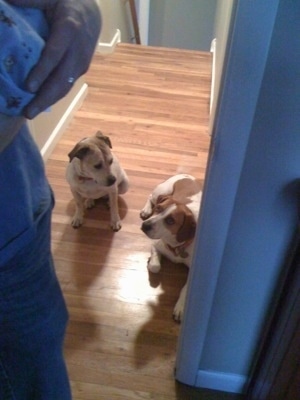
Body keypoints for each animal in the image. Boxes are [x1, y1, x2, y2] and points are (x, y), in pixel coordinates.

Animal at [140, 173, 202, 322]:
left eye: (170, 221)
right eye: (158, 209)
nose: (145, 225)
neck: (179, 246)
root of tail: (185, 174)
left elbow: (186, 289)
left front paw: (180, 307)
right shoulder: (157, 245)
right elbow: (155, 267)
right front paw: (150, 262)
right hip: (161, 191)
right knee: (150, 196)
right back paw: (146, 210)